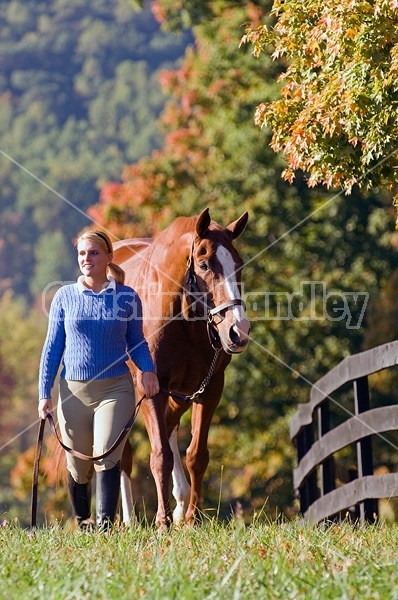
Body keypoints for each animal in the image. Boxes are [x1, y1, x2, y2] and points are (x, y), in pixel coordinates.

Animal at [112, 209, 249, 528]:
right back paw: (129, 520)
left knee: (170, 427)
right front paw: (162, 521)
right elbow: (160, 455)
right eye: (204, 264)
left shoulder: (209, 389)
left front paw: (191, 517)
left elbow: (196, 455)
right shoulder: (151, 387)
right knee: (124, 452)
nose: (238, 331)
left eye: (238, 265)